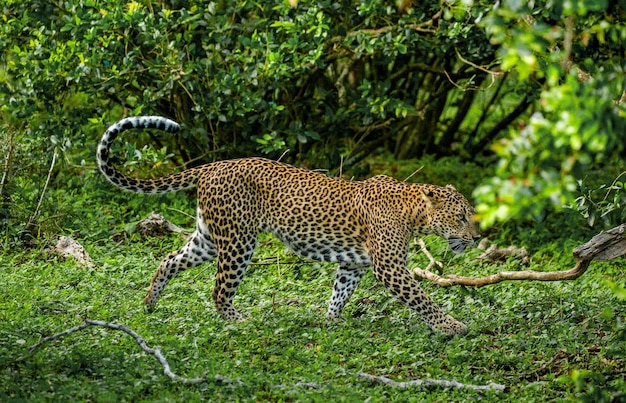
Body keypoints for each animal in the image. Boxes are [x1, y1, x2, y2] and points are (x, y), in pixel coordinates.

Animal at [96, 117, 478, 338]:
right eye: (461, 217)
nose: (476, 239)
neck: (412, 211)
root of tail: (212, 166)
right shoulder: (389, 266)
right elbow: (421, 297)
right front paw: (451, 325)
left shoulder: (354, 263)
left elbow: (340, 291)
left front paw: (332, 321)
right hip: (238, 241)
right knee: (218, 289)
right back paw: (239, 321)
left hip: (208, 238)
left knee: (170, 259)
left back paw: (149, 303)